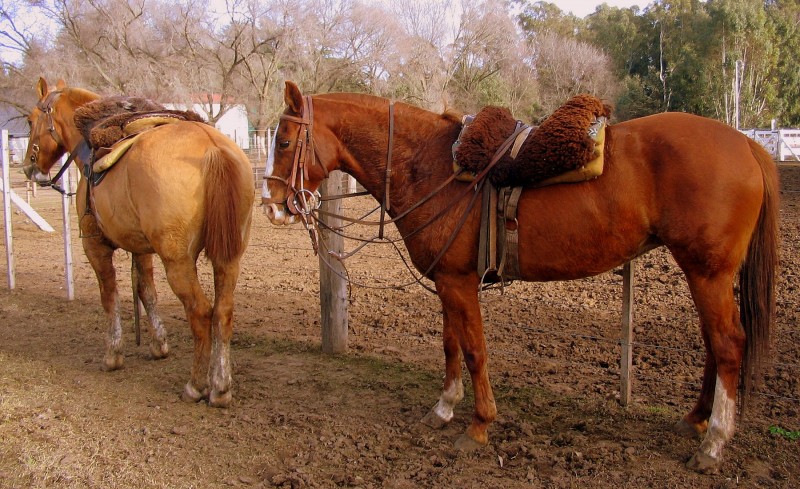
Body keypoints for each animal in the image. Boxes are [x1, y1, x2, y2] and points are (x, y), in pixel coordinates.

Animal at [23, 78, 253, 406]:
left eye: (31, 120)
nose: (29, 167)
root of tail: (212, 146)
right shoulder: (141, 249)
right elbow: (146, 291)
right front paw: (159, 345)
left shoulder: (95, 247)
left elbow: (109, 297)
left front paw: (113, 354)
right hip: (229, 256)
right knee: (222, 312)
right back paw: (220, 387)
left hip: (178, 261)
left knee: (200, 312)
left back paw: (196, 386)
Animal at [266, 81, 780, 472]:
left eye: (286, 142)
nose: (273, 208)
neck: (429, 165)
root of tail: (747, 143)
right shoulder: (448, 280)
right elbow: (451, 345)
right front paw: (444, 408)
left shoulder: (460, 283)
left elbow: (475, 350)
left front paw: (479, 426)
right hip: (705, 275)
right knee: (714, 343)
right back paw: (696, 420)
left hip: (707, 272)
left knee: (728, 344)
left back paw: (714, 442)